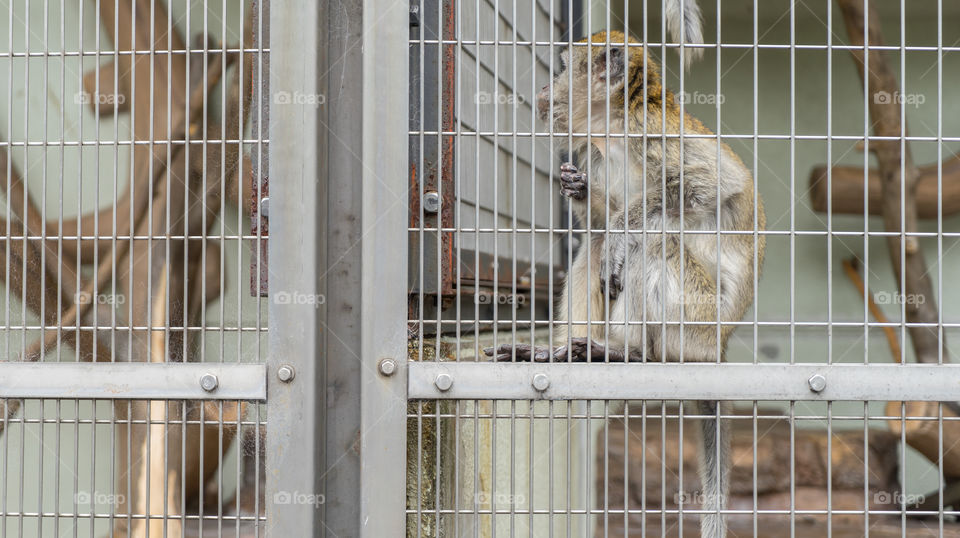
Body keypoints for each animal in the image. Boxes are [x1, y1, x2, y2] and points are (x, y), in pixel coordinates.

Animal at [484, 30, 765, 537]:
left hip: (697, 320)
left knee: (650, 242)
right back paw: (561, 351)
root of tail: (721, 342)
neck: (611, 130)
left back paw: (626, 350)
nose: (545, 89)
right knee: (594, 250)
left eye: (564, 68)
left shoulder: (647, 130)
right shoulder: (594, 153)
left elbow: (712, 184)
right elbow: (596, 222)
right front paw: (579, 192)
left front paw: (620, 227)